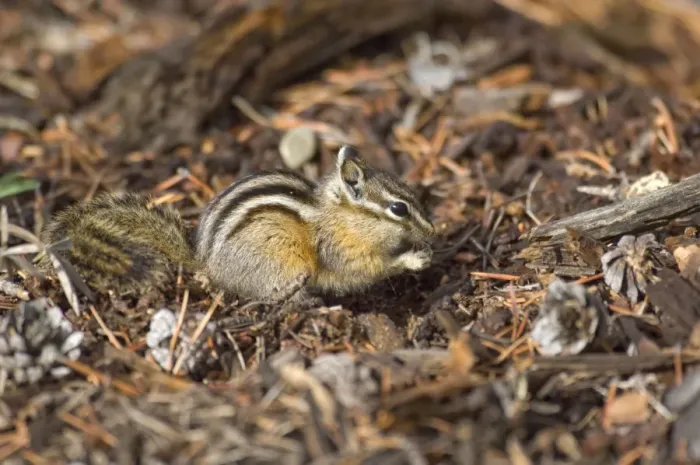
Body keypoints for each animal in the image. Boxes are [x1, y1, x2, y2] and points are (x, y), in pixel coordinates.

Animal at [38, 145, 435, 303]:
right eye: (399, 209)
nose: (433, 230)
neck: (341, 217)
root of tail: (204, 263)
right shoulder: (339, 250)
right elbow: (364, 270)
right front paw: (413, 258)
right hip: (284, 265)